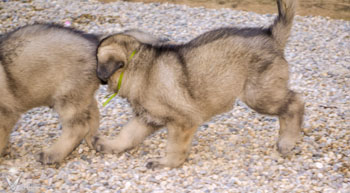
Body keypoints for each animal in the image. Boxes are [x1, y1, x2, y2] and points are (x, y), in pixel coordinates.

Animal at [0, 23, 101, 164]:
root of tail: (94, 42)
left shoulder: (6, 113)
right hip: (81, 95)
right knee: (93, 116)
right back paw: (95, 141)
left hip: (67, 98)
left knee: (78, 128)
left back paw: (52, 154)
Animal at [93, 0, 304, 169]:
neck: (141, 69)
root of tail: (272, 36)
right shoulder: (146, 118)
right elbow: (128, 134)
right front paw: (111, 145)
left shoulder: (182, 122)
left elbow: (174, 147)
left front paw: (167, 163)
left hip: (258, 94)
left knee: (295, 102)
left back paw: (287, 141)